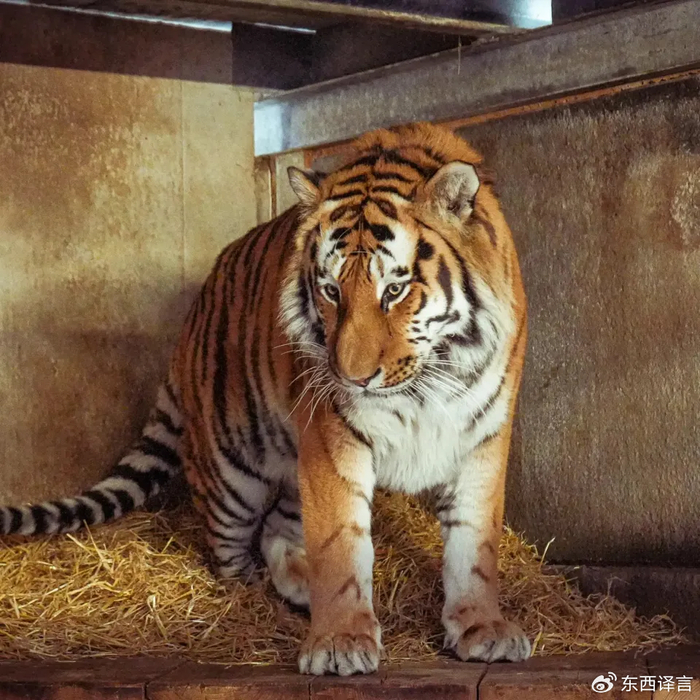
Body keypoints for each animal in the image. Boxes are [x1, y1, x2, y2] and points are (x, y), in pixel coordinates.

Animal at [0, 122, 529, 675]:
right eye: (331, 291)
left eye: (395, 290)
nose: (352, 378)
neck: (427, 382)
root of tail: (190, 322)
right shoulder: (332, 438)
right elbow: (339, 543)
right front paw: (340, 641)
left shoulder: (483, 436)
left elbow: (474, 542)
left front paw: (482, 628)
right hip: (232, 471)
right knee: (229, 548)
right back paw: (260, 587)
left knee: (278, 527)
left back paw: (299, 585)